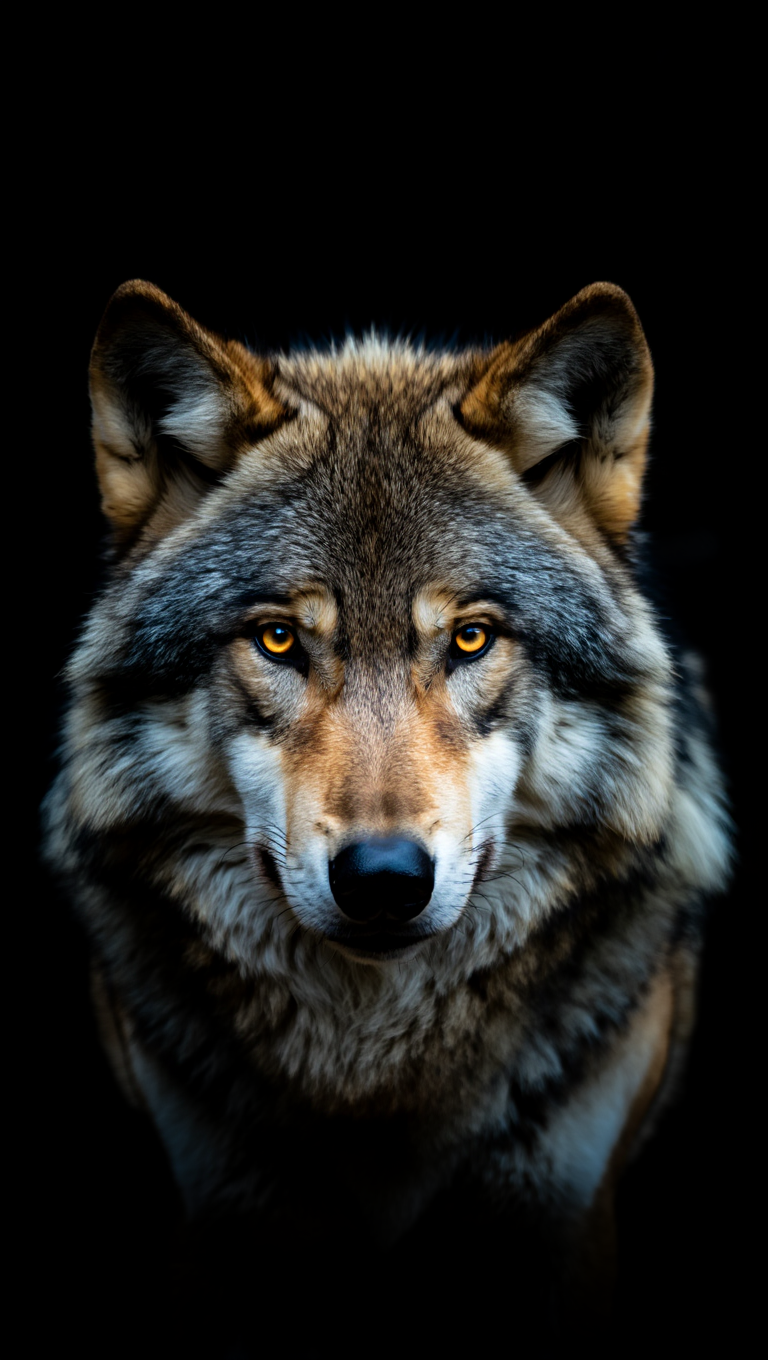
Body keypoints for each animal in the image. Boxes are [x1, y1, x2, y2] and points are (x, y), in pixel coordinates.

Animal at [44, 279, 731, 1346]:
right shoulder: (222, 1216)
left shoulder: (562, 1220)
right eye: (279, 640)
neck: (376, 1081)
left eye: (471, 638)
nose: (382, 881)